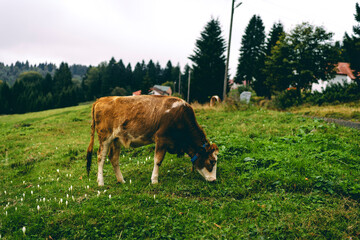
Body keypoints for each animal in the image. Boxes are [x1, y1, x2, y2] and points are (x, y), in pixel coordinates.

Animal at [86, 95, 218, 186]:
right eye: (212, 161)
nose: (214, 180)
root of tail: (101, 99)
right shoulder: (161, 138)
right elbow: (158, 160)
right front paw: (154, 180)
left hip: (116, 139)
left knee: (113, 158)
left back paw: (121, 180)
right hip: (105, 137)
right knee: (100, 157)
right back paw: (101, 182)